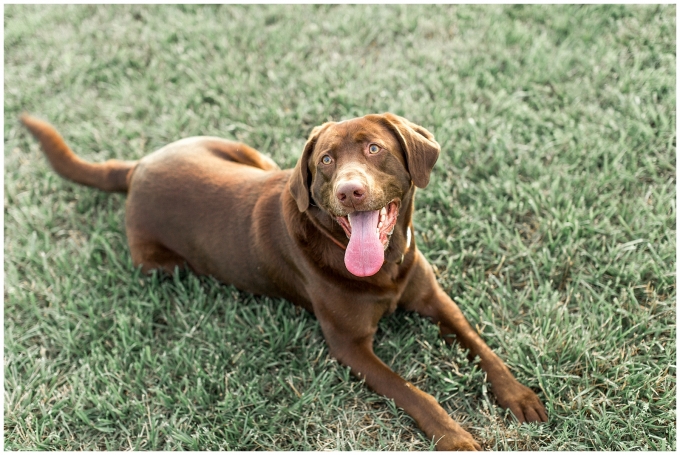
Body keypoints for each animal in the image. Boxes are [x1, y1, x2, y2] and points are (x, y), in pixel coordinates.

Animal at [21, 113, 548, 448]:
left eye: (374, 149)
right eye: (326, 161)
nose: (349, 191)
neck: (385, 266)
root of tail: (135, 168)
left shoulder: (436, 299)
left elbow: (480, 346)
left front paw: (520, 395)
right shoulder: (350, 348)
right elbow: (413, 392)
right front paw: (456, 437)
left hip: (243, 151)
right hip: (160, 264)